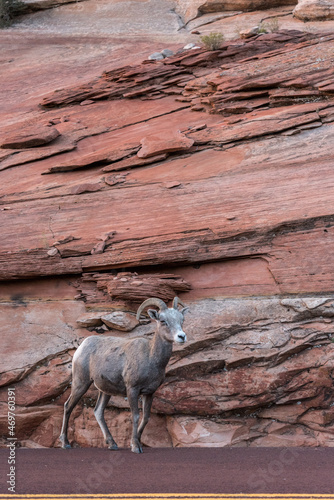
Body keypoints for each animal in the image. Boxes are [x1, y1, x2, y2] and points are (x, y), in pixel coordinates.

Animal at [58, 296, 187, 454]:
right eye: (163, 321)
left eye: (181, 320)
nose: (181, 336)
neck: (151, 357)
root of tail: (82, 346)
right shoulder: (132, 389)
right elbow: (136, 416)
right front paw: (135, 446)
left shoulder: (149, 393)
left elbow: (146, 418)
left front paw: (137, 441)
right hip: (80, 383)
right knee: (68, 406)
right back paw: (65, 443)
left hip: (105, 391)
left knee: (98, 411)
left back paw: (112, 444)